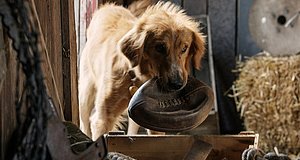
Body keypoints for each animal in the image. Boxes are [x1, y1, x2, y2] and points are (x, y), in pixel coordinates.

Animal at [79, 0, 206, 139]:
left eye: (184, 48)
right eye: (160, 47)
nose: (177, 84)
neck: (136, 75)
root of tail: (108, 6)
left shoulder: (153, 118)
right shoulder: (103, 118)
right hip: (86, 94)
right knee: (84, 122)